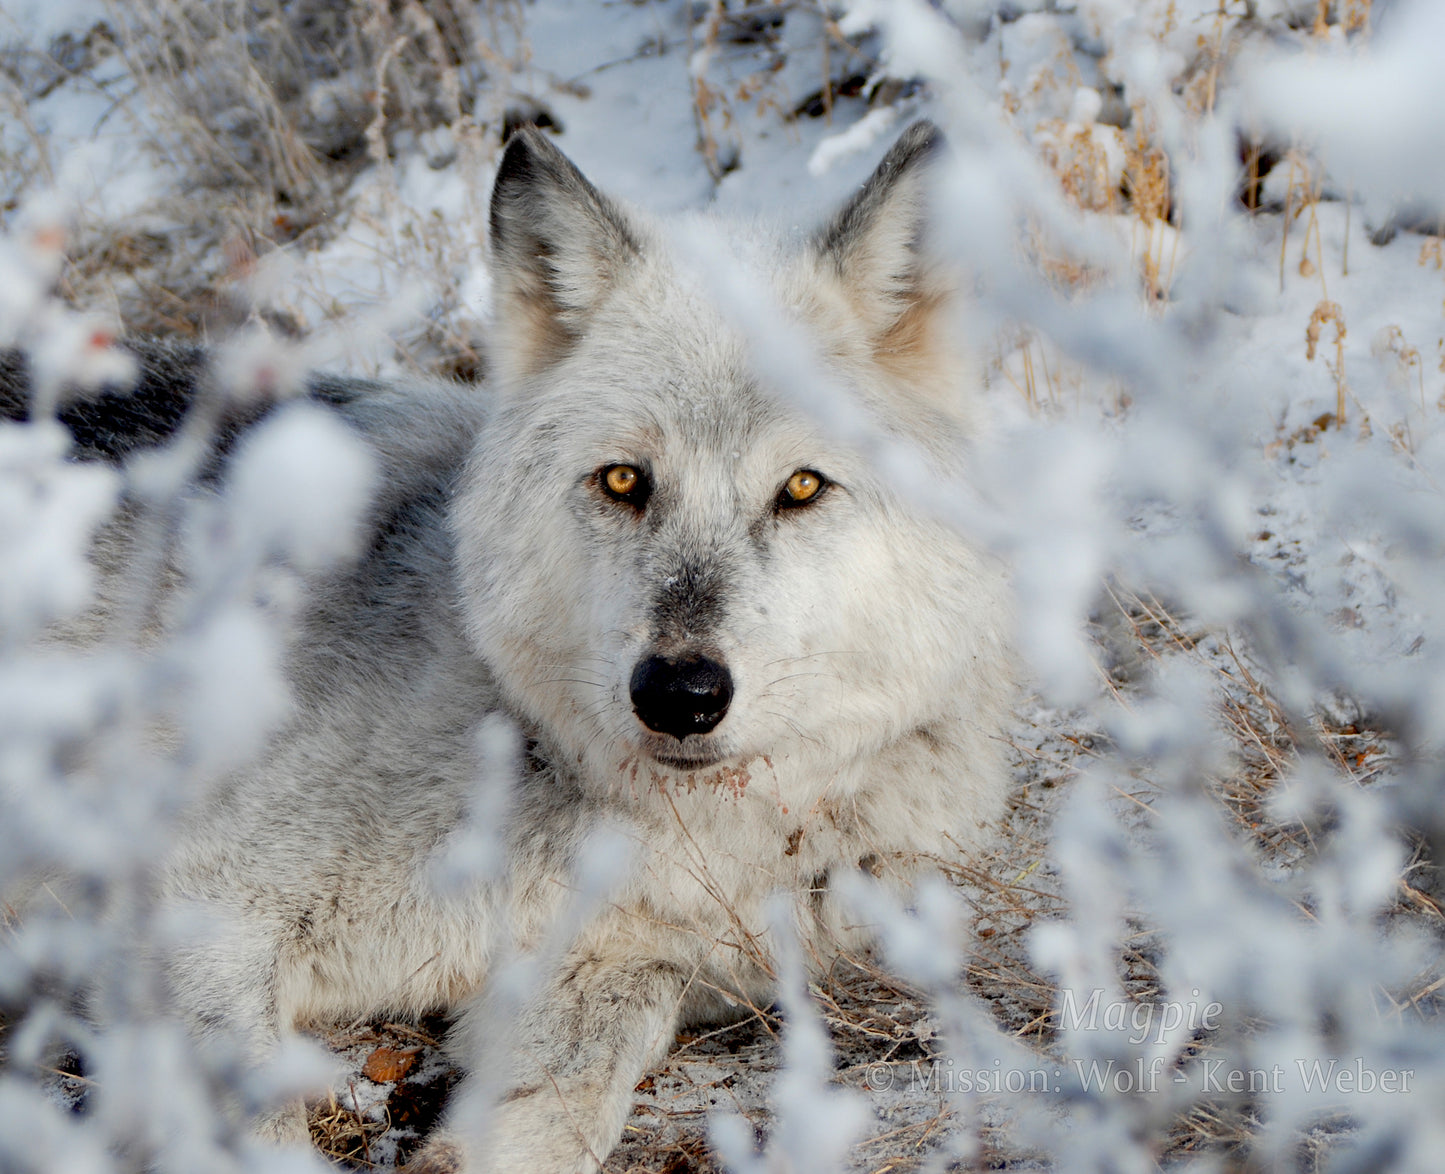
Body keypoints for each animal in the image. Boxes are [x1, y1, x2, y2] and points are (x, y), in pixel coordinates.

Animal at [14, 121, 1005, 1174]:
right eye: (623, 480)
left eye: (803, 488)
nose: (680, 694)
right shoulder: (180, 906)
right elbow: (265, 1130)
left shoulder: (630, 963)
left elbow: (576, 1083)